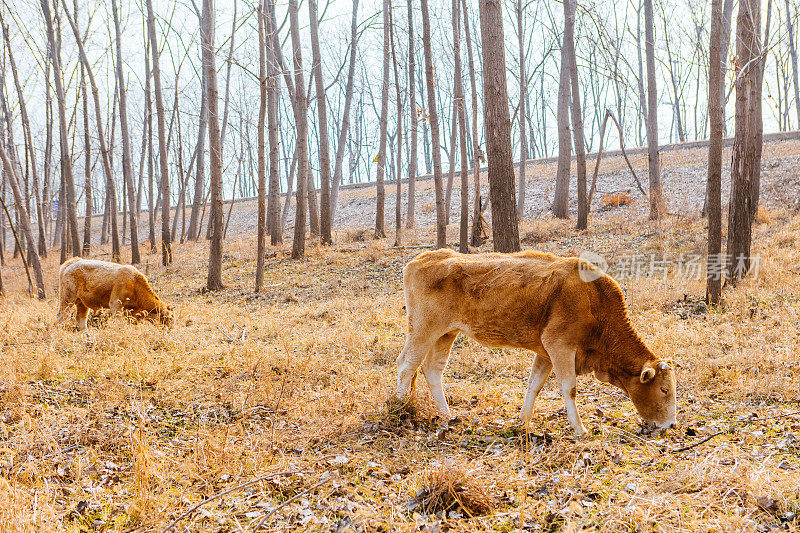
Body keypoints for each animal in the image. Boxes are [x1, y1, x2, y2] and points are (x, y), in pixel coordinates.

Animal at [396, 249, 680, 436]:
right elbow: (569, 388)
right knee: (406, 364)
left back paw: (447, 416)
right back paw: (399, 411)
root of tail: (419, 260)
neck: (593, 299)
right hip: (423, 330)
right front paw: (580, 429)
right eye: (664, 389)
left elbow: (534, 385)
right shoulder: (560, 346)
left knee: (432, 369)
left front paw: (523, 421)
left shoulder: (545, 353)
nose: (671, 424)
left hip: (445, 334)